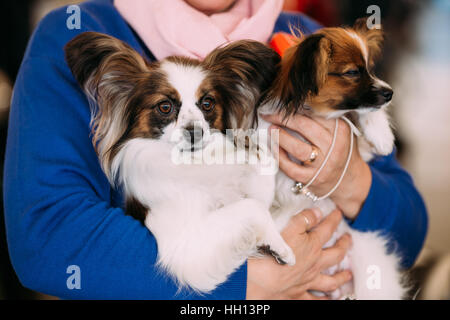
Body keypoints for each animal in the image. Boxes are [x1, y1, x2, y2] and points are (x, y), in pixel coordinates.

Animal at [65, 31, 294, 292]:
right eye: (165, 106)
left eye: (207, 103)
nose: (195, 132)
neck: (192, 163)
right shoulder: (185, 248)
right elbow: (252, 207)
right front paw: (281, 247)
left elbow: (261, 182)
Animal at [255, 19, 406, 300]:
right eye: (353, 72)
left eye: (370, 69)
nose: (390, 92)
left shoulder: (359, 146)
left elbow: (364, 115)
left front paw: (381, 135)